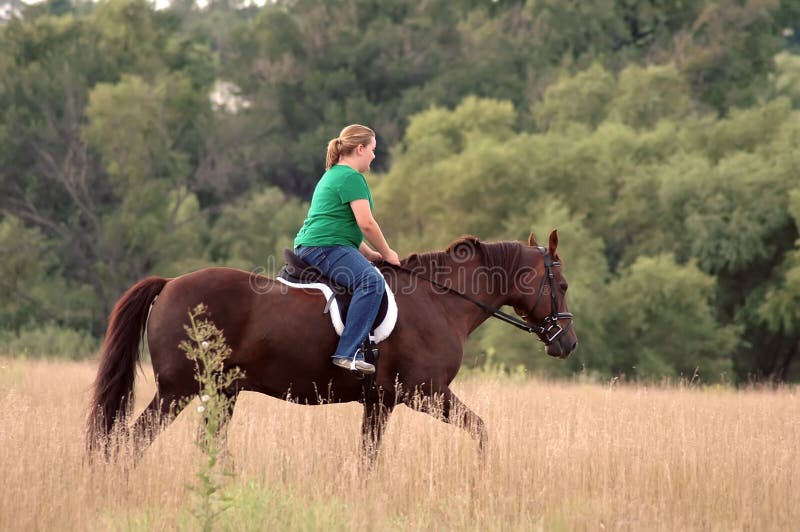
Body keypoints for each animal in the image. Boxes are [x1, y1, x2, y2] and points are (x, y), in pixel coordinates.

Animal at [86, 231, 576, 464]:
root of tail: (169, 284)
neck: (440, 299)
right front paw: (480, 474)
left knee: (206, 443)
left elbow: (369, 457)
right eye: (564, 285)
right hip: (178, 390)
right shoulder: (426, 393)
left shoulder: (380, 403)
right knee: (130, 441)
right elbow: (481, 431)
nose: (567, 343)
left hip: (221, 391)